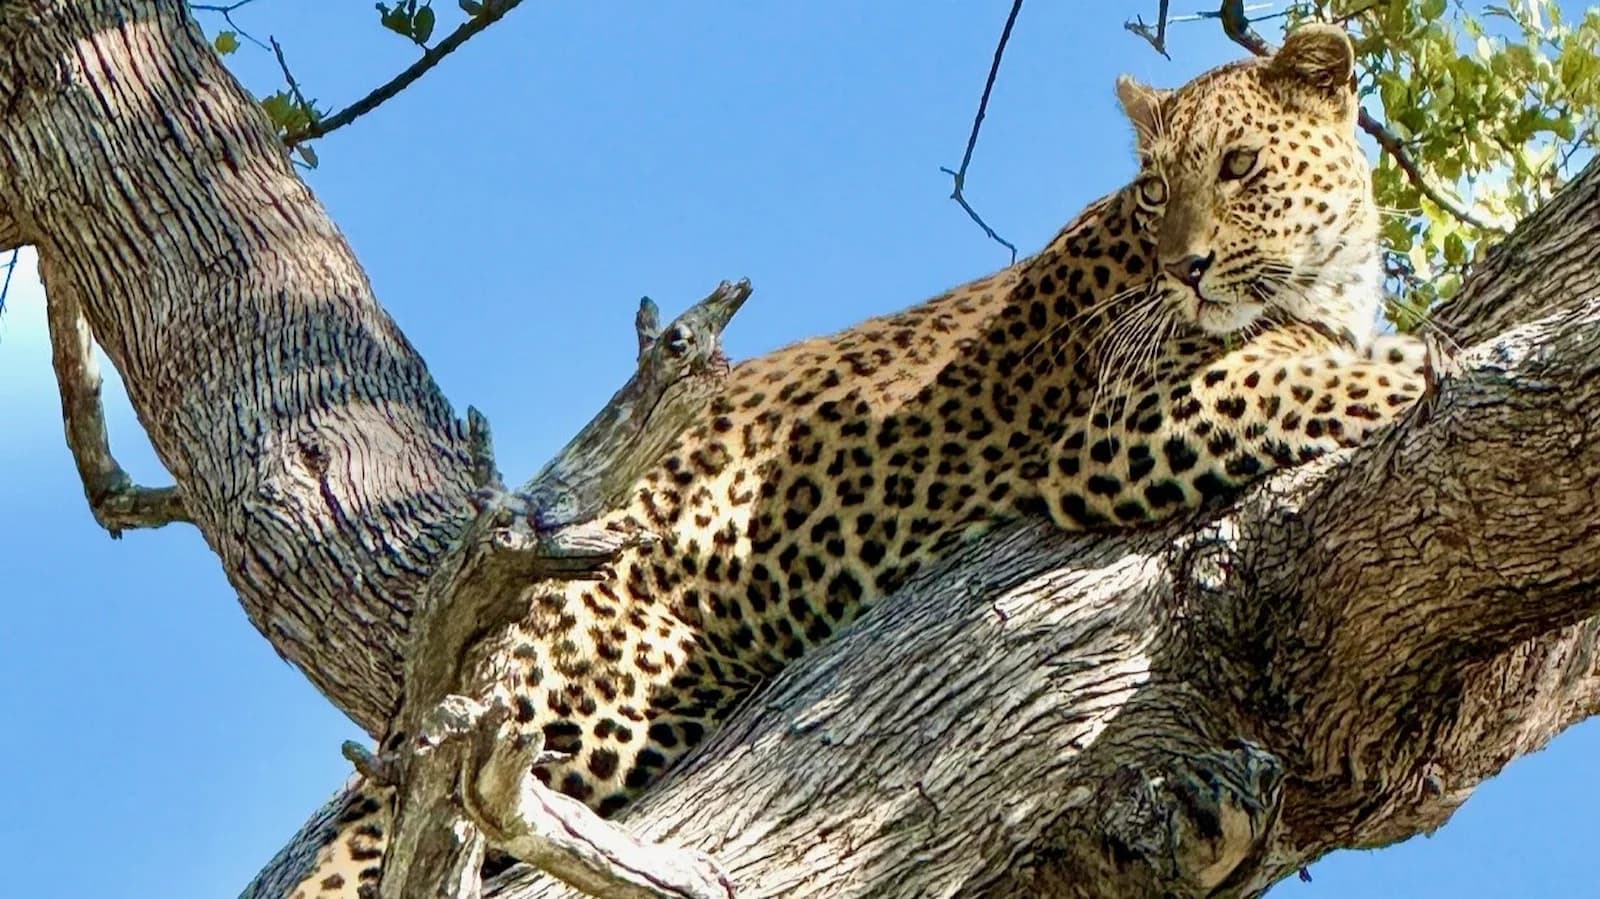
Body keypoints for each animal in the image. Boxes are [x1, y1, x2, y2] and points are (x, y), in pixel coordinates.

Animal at [282, 24, 1426, 898]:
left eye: (1239, 167)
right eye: (1153, 192)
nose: (1186, 265)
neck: (1327, 278)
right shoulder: (1119, 424)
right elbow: (1324, 379)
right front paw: (1430, 364)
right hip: (607, 698)